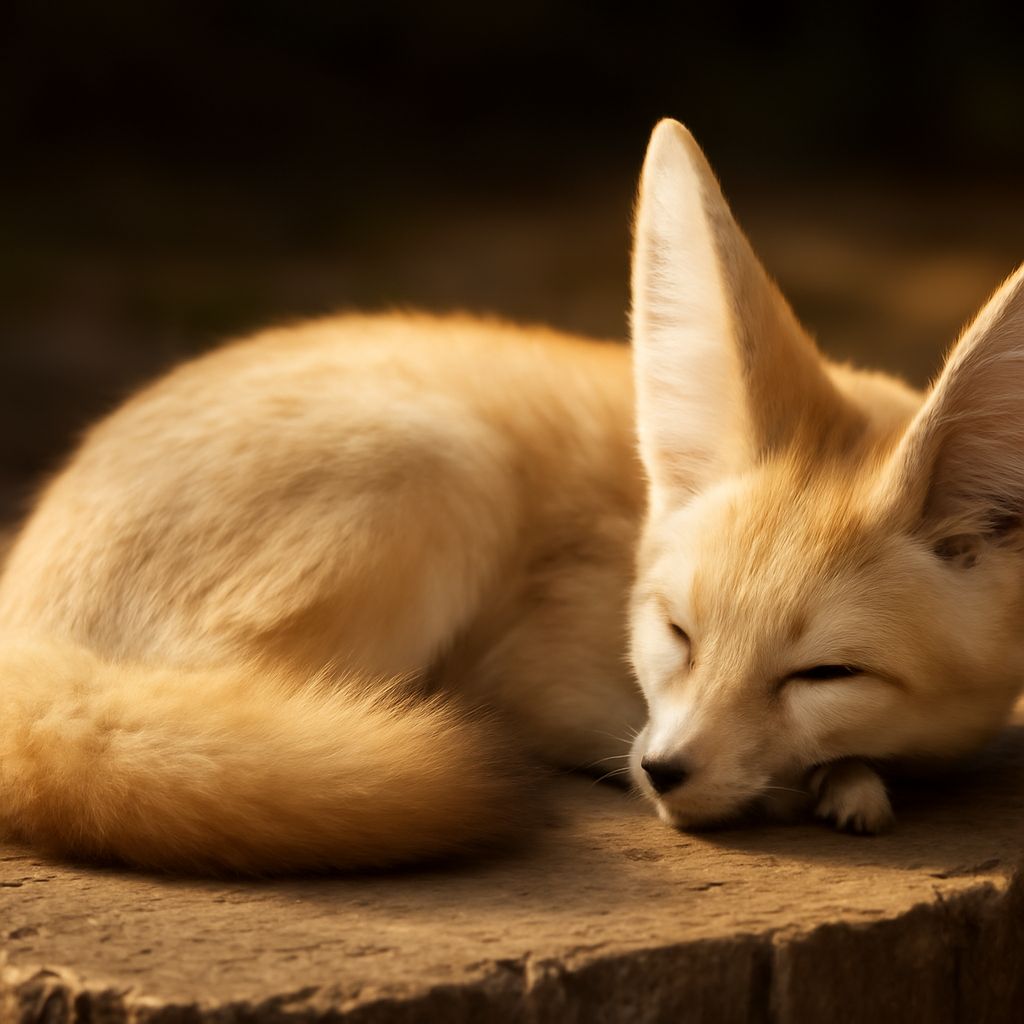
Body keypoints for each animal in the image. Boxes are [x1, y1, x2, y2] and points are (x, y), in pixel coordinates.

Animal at [1, 119, 1022, 875]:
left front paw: (845, 776)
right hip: (440, 471)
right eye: (678, 633)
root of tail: (30, 630)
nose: (664, 771)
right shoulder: (542, 678)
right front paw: (832, 783)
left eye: (826, 673)